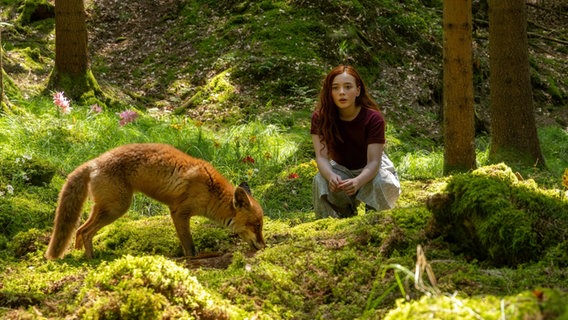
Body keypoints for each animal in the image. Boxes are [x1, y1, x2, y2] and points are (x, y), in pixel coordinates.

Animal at [45, 142, 266, 260]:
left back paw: (77, 253)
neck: (212, 192)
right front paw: (195, 258)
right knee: (85, 231)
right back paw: (91, 259)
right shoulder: (179, 212)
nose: (264, 246)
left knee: (79, 231)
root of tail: (94, 162)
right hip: (117, 208)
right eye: (256, 225)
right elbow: (190, 247)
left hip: (105, 208)